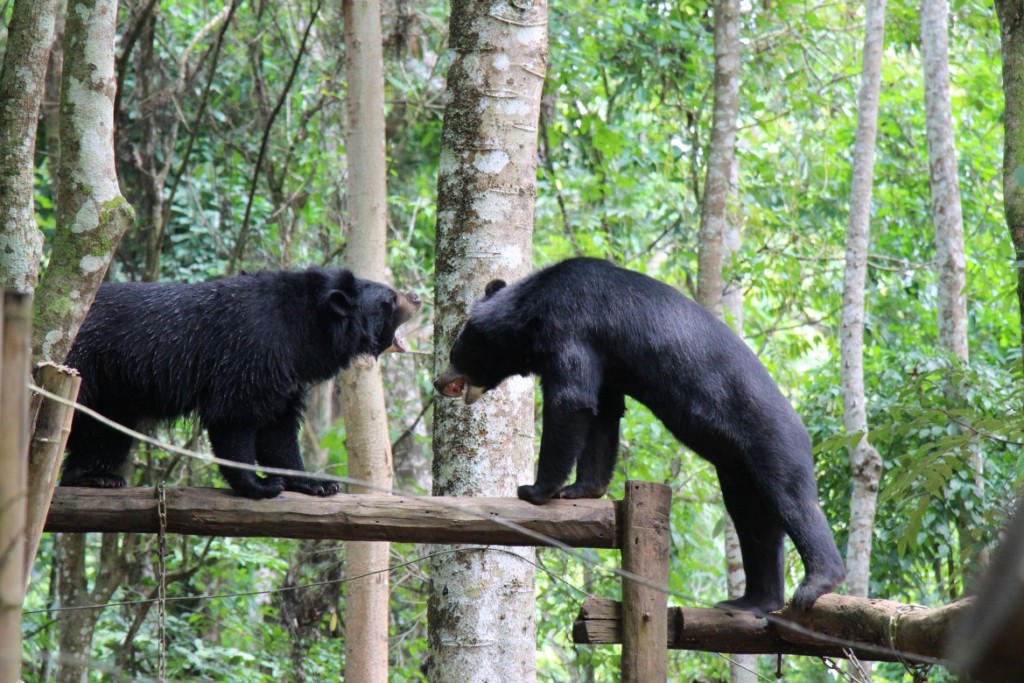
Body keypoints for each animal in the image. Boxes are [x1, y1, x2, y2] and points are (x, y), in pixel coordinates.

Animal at [61, 268, 421, 501]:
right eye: (391, 298)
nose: (417, 296)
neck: (305, 333)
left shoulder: (288, 377)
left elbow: (278, 431)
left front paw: (317, 485)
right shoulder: (251, 353)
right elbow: (234, 417)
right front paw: (261, 486)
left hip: (113, 390)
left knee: (106, 432)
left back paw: (96, 477)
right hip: (84, 363)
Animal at [436, 259, 843, 610]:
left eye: (457, 351)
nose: (440, 383)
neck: (531, 312)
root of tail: (805, 430)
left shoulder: (572, 327)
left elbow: (572, 400)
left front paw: (535, 491)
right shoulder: (606, 364)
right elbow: (604, 412)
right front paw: (582, 490)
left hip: (772, 442)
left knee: (794, 503)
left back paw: (816, 584)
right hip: (738, 472)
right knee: (754, 525)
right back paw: (750, 603)